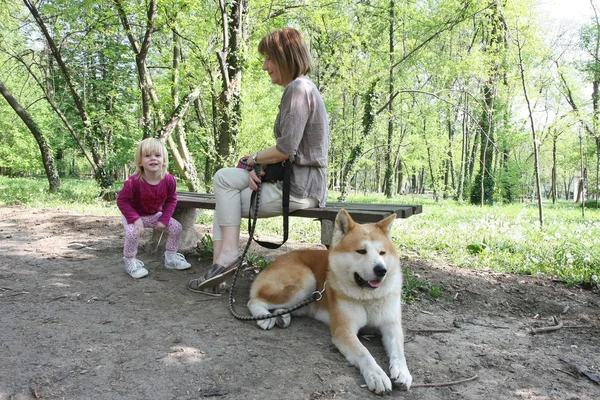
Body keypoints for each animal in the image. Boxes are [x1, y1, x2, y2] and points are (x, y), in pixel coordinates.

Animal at [247, 209, 412, 394]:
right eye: (361, 251)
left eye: (382, 253)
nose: (381, 270)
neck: (367, 298)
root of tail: (273, 262)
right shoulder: (344, 329)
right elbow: (364, 353)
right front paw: (377, 376)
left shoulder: (391, 325)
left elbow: (398, 350)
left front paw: (402, 372)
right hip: (306, 281)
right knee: (254, 301)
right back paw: (265, 318)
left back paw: (282, 316)